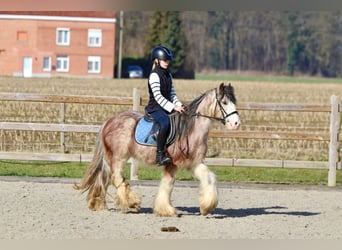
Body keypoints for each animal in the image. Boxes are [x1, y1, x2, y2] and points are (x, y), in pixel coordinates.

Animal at [74, 82, 240, 217]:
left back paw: (97, 204)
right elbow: (167, 186)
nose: (236, 123)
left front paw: (207, 207)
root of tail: (109, 121)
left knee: (104, 177)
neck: (190, 130)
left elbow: (209, 177)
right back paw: (132, 203)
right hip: (118, 156)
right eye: (224, 102)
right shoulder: (172, 164)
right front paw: (166, 210)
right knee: (116, 178)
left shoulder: (194, 163)